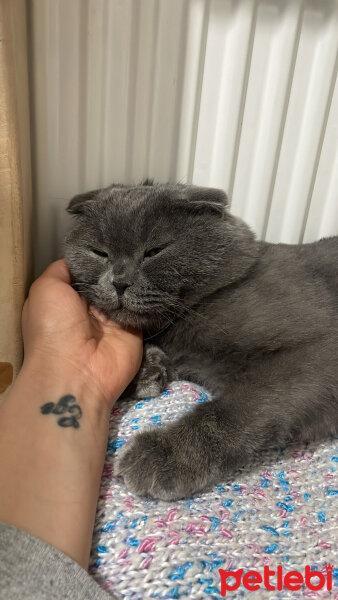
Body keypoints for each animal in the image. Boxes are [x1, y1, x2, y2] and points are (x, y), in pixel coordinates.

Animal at [64, 183, 338, 502]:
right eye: (99, 252)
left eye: (154, 251)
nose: (119, 282)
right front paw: (147, 369)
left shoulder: (319, 352)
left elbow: (239, 409)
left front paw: (163, 456)